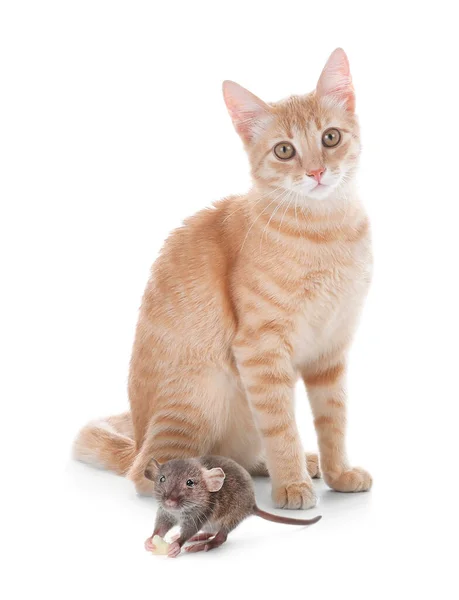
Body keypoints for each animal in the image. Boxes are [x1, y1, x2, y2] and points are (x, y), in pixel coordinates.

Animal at [73, 49, 374, 508]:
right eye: (285, 150)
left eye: (330, 138)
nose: (317, 172)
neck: (324, 231)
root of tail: (137, 442)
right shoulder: (260, 350)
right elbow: (281, 426)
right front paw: (292, 485)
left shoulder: (331, 350)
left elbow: (333, 420)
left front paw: (338, 472)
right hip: (198, 396)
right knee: (149, 474)